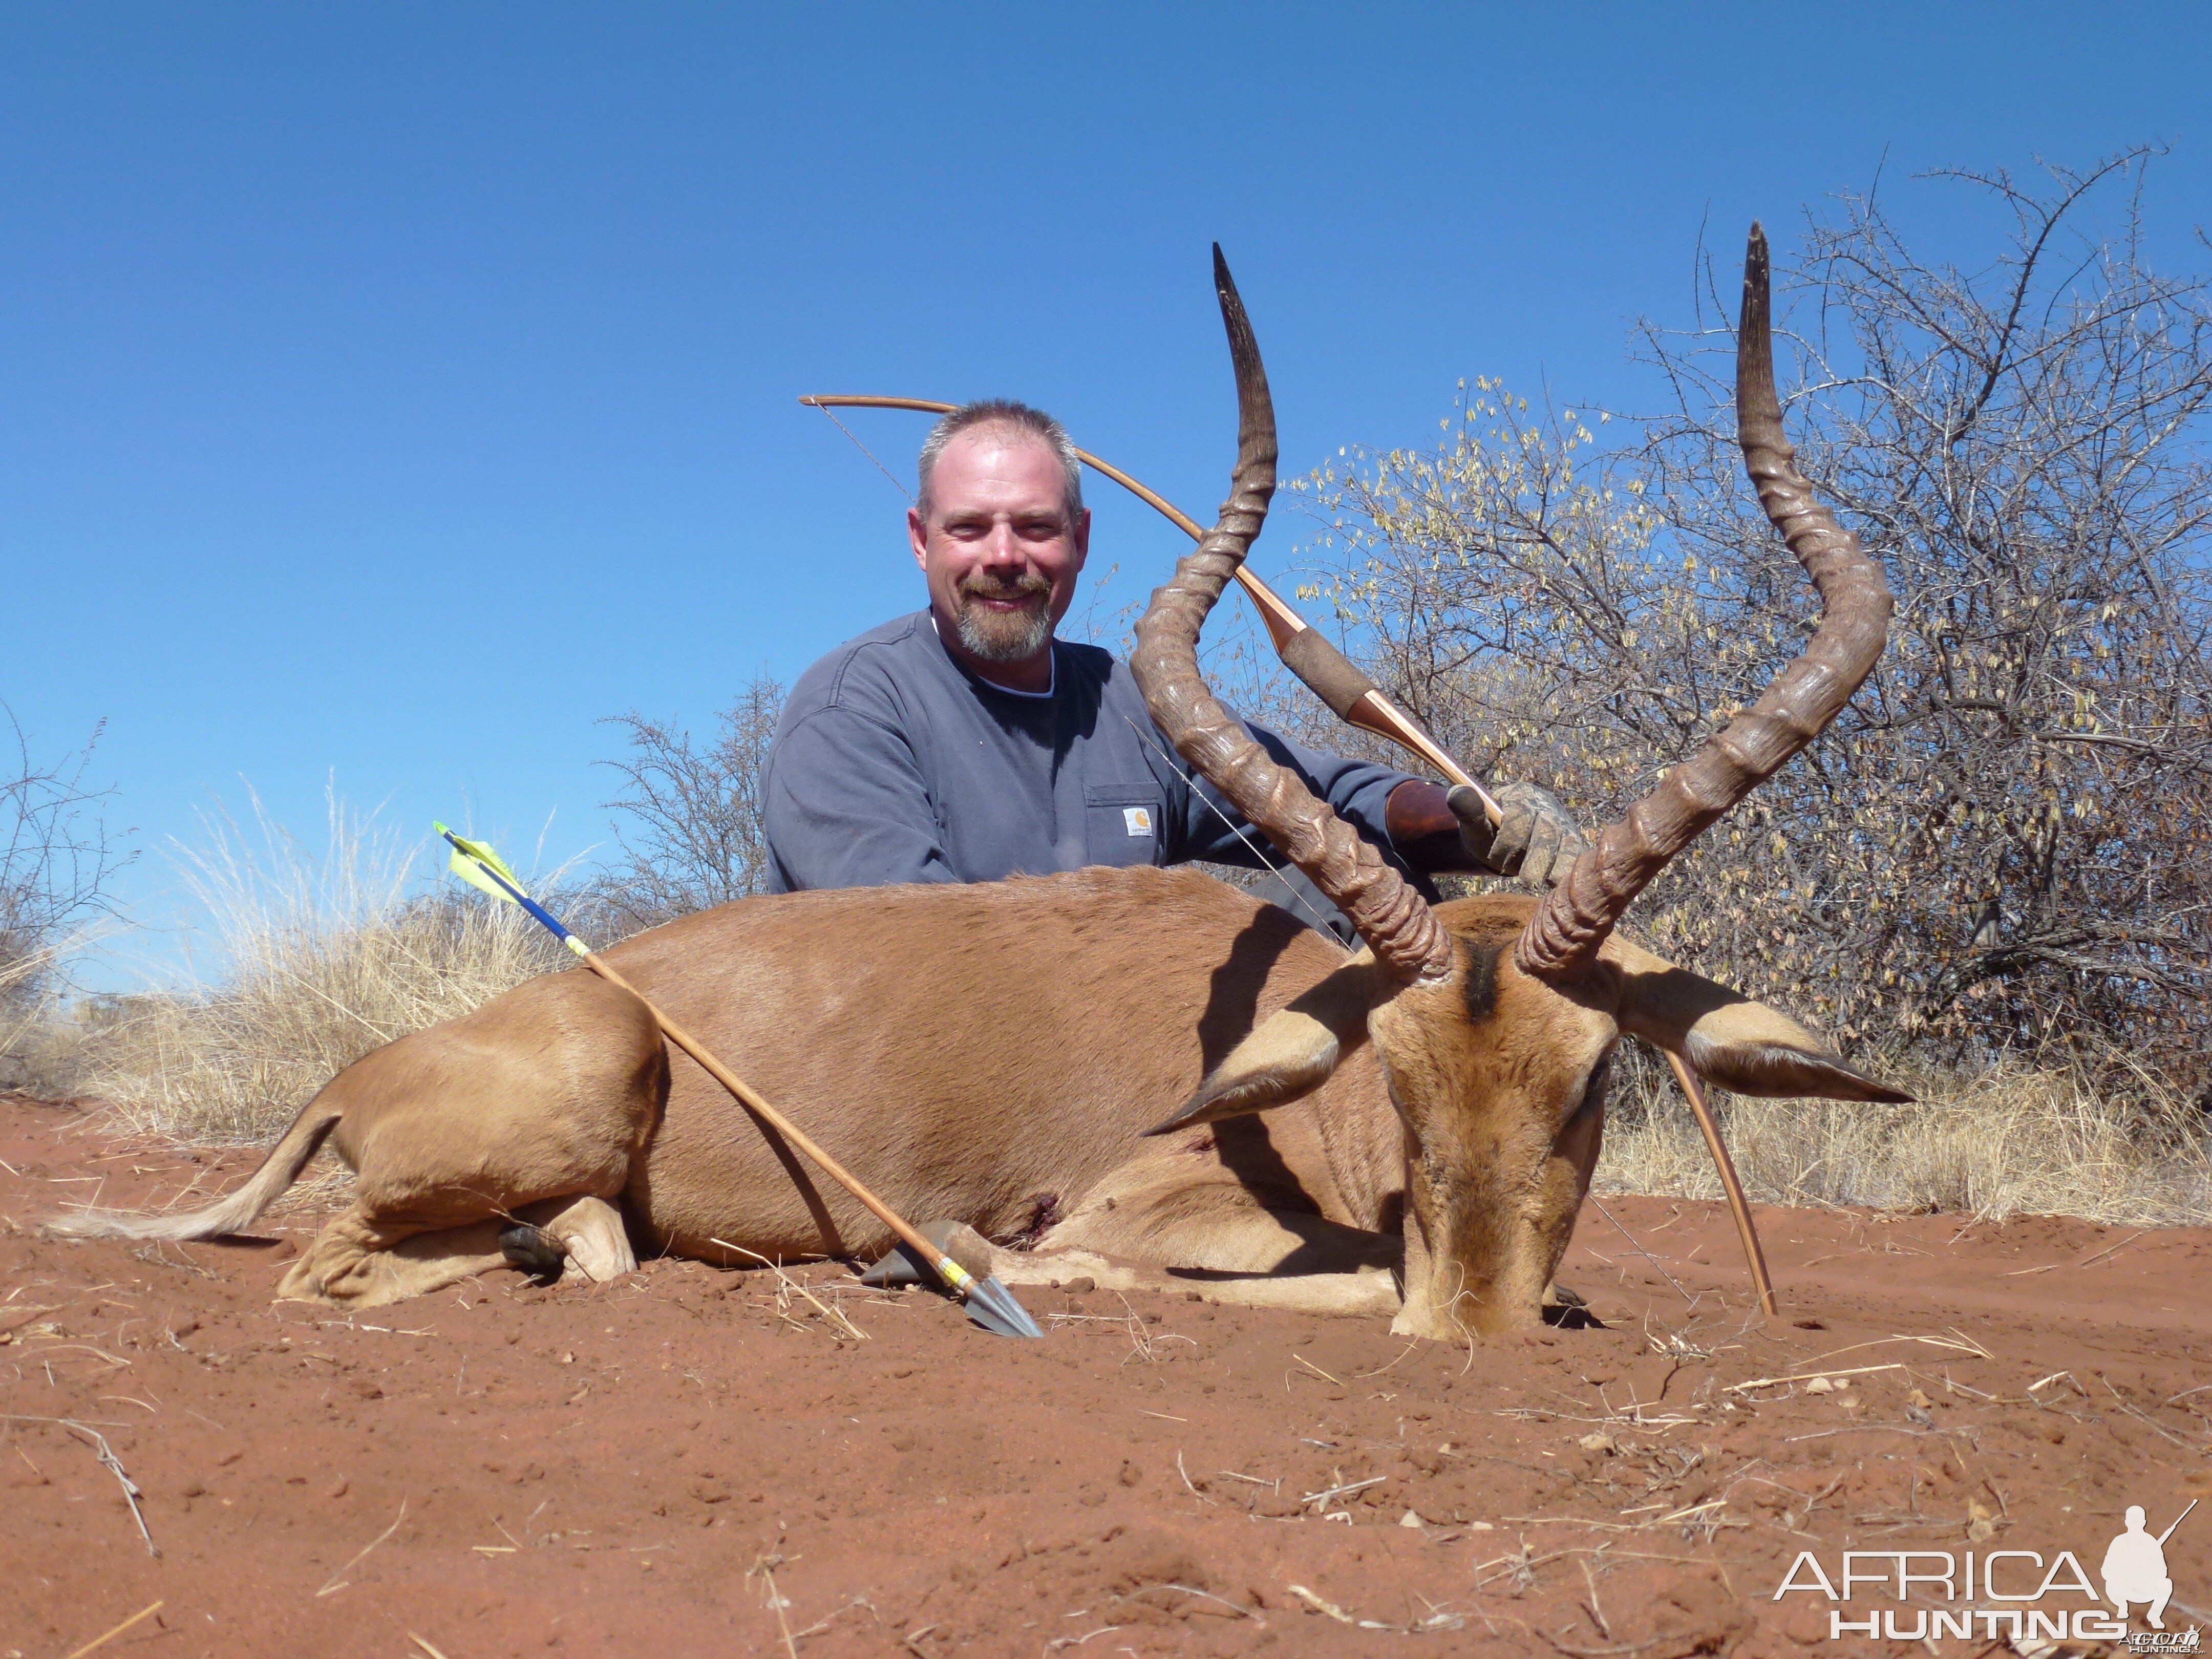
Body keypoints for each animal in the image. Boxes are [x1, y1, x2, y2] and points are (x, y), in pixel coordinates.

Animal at [52, 231, 1920, 1336]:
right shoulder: (1165, 1211)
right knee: (339, 1270)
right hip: (580, 1087)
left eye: (1595, 1079)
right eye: (1390, 1080)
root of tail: (364, 1070)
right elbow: (1176, 1267)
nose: (1471, 1332)